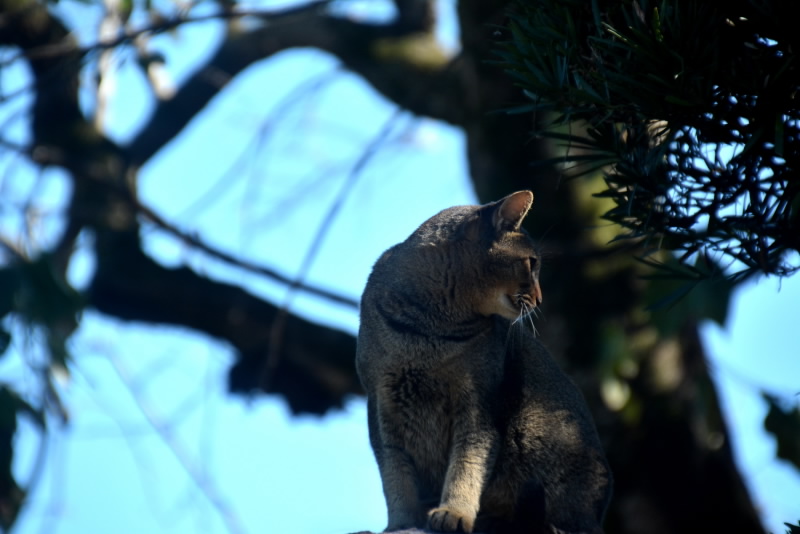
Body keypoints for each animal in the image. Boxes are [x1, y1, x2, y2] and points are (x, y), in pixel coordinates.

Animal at [356, 191, 612, 532]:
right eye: (531, 263)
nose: (540, 299)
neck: (431, 330)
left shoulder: (479, 400)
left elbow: (468, 461)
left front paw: (455, 512)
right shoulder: (381, 398)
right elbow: (394, 471)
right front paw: (400, 522)